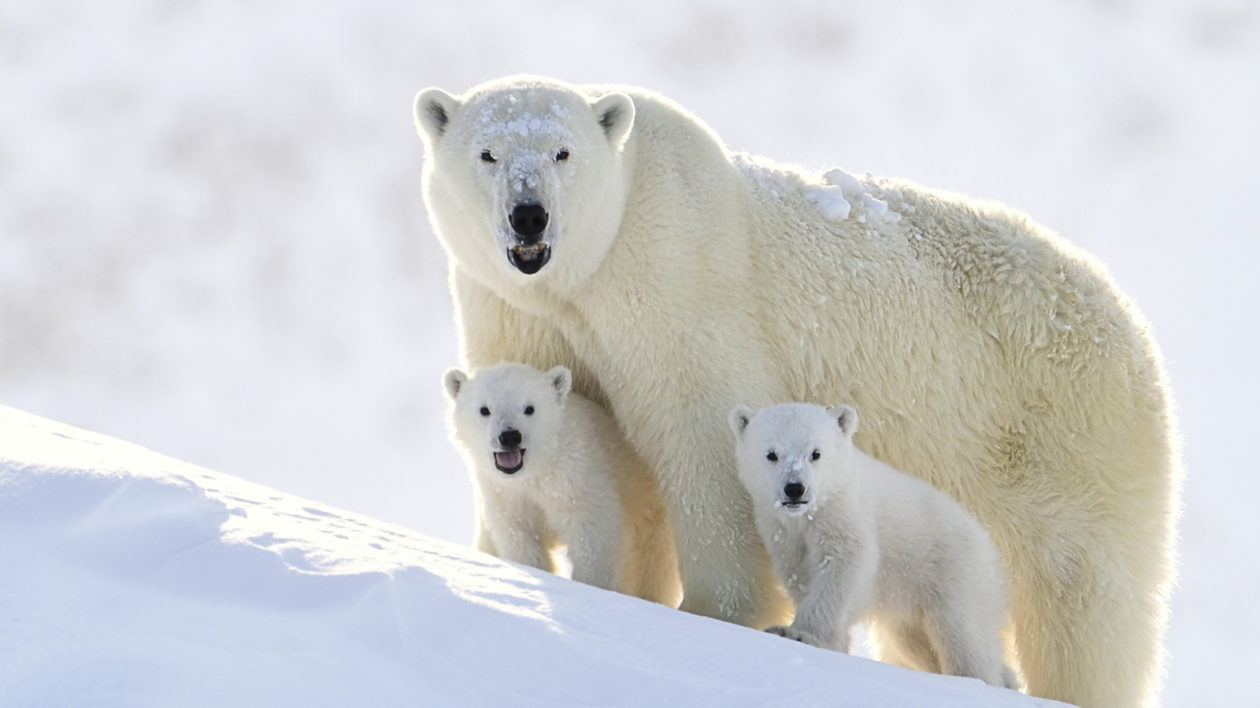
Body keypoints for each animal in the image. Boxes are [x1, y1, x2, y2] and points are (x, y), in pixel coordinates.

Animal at [443, 362, 680, 599]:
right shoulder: (505, 493)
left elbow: (591, 535)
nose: (510, 437)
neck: (540, 468)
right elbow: (519, 535)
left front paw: (591, 586)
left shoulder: (579, 476)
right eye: (484, 409)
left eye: (529, 408)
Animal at [735, 403, 1018, 690]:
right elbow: (799, 574)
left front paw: (799, 633)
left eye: (815, 453)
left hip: (956, 572)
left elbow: (843, 567)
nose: (794, 489)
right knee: (915, 643)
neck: (813, 512)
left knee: (963, 633)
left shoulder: (846, 514)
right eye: (771, 454)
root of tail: (990, 548)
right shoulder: (783, 532)